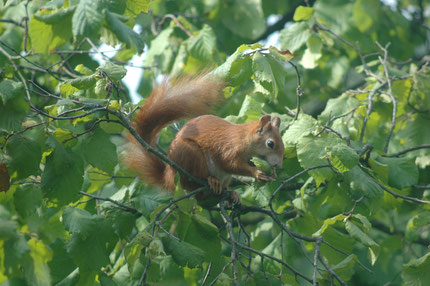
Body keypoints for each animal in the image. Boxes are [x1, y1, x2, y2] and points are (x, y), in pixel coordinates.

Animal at [125, 73, 286, 203]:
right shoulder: (229, 148)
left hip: (224, 177)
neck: (243, 138)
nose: (278, 165)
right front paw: (257, 173)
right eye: (270, 143)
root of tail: (170, 175)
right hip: (191, 154)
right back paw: (211, 181)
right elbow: (230, 164)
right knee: (192, 182)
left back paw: (231, 193)